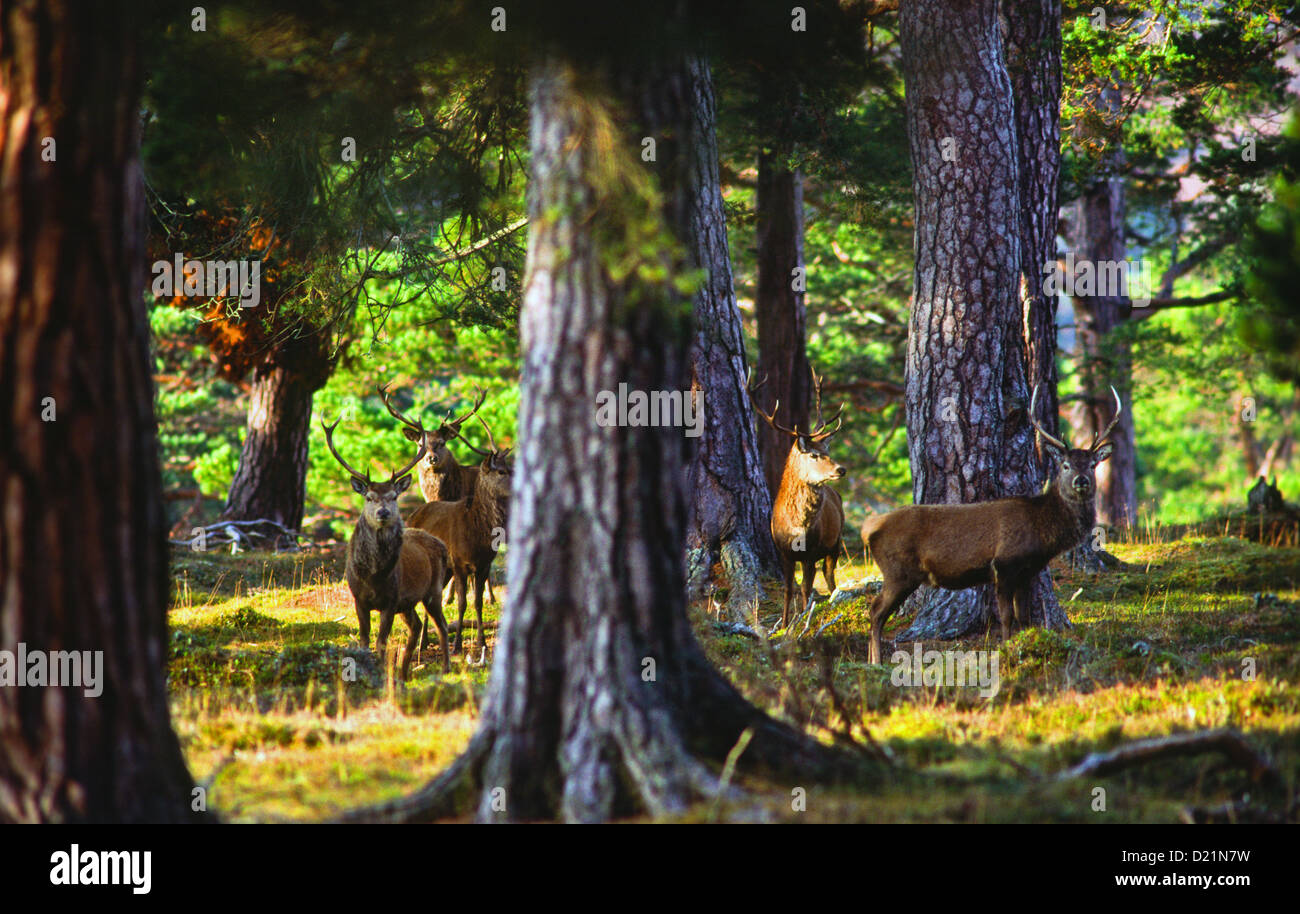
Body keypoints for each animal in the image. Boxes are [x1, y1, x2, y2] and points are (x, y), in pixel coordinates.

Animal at [321, 418, 452, 676]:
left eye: (393, 496)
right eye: (369, 497)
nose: (383, 512)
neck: (374, 576)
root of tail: (440, 544)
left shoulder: (391, 600)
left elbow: (381, 641)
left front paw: (380, 672)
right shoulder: (359, 598)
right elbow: (364, 639)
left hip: (433, 590)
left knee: (440, 625)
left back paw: (445, 668)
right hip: (408, 603)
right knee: (417, 625)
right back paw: (402, 673)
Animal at [405, 418, 512, 660]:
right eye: (502, 471)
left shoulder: (483, 565)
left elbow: (477, 602)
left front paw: (481, 643)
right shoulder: (461, 563)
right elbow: (463, 603)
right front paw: (457, 646)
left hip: (445, 570)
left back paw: (426, 642)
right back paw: (423, 643)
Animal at [754, 371, 842, 629]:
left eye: (827, 451)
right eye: (813, 454)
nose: (841, 469)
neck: (797, 527)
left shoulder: (811, 552)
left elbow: (805, 588)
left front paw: (803, 620)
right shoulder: (783, 552)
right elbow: (788, 589)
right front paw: (784, 625)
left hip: (836, 541)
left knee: (829, 575)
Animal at [863, 384, 1118, 665]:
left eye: (1093, 465)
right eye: (1065, 465)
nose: (1081, 481)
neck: (1041, 531)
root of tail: (870, 528)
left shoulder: (1027, 571)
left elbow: (1023, 616)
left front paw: (1023, 646)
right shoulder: (1004, 564)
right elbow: (1007, 616)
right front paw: (1006, 650)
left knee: (876, 611)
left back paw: (872, 660)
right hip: (898, 571)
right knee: (875, 611)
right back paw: (876, 661)